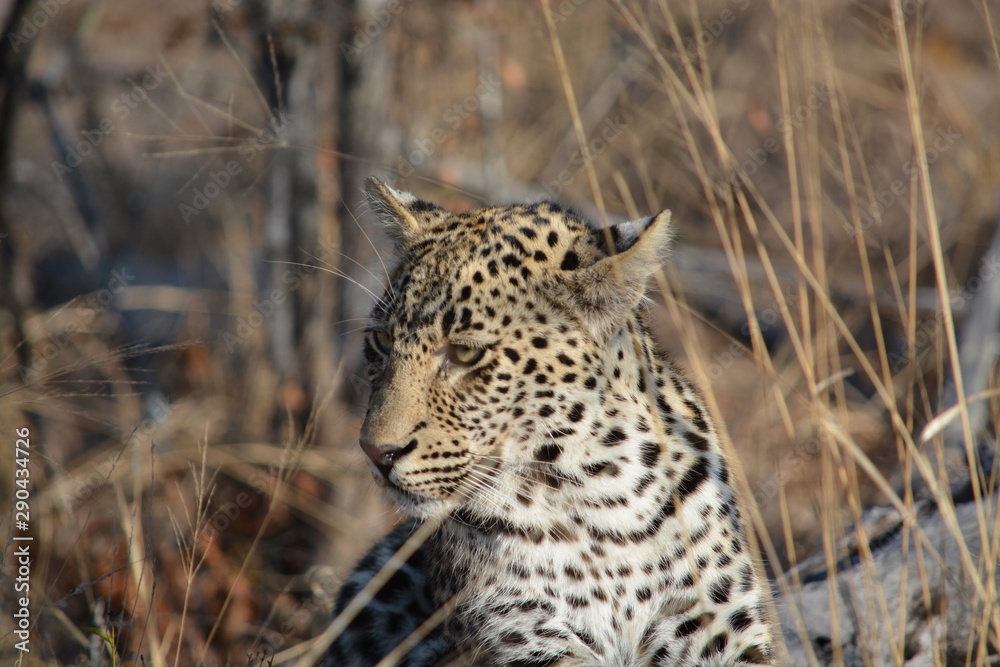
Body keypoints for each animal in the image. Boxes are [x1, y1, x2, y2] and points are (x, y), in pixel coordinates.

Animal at [321, 177, 774, 666]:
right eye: (382, 341)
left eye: (465, 353)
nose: (376, 451)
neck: (606, 500)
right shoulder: (527, 638)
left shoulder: (719, 628)